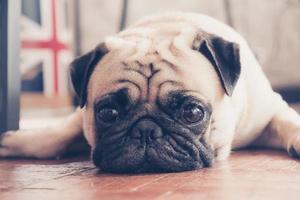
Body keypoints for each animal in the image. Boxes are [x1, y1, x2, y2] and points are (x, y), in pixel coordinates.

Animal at [0, 12, 300, 172]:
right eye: (108, 113)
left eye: (193, 112)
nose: (146, 130)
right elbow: (56, 137)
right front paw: (16, 141)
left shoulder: (271, 111)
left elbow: (288, 121)